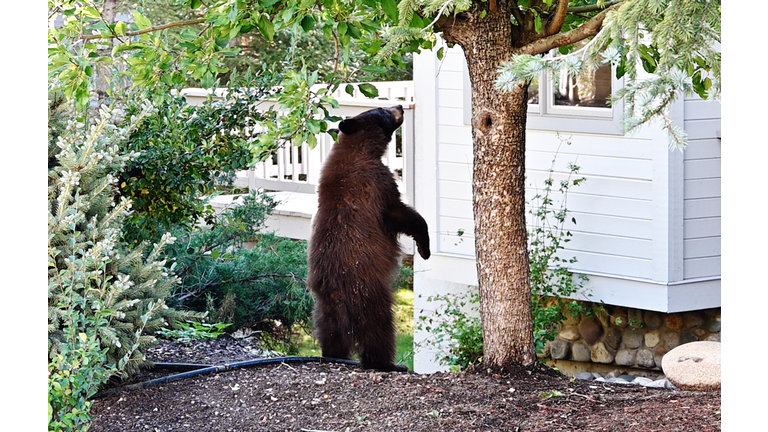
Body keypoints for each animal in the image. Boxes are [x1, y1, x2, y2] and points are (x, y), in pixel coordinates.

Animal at [308, 104, 432, 372]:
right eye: (381, 109)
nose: (399, 105)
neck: (359, 148)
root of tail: (335, 291)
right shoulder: (377, 183)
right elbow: (401, 213)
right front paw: (424, 248)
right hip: (368, 294)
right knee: (379, 330)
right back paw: (389, 364)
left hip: (323, 308)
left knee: (329, 333)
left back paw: (334, 355)